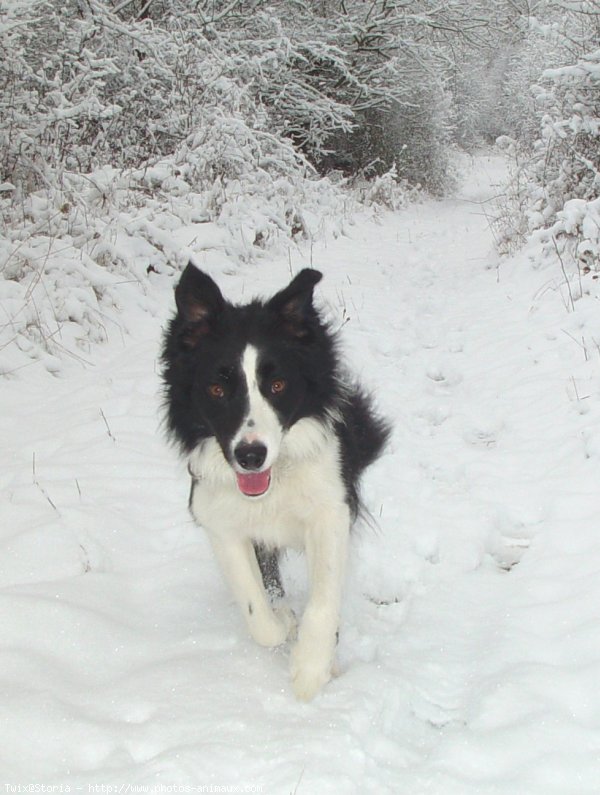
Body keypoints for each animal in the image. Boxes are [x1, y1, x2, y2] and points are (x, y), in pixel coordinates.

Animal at [161, 264, 390, 700]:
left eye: (278, 386)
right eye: (216, 389)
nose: (250, 456)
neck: (275, 479)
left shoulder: (330, 509)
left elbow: (324, 598)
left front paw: (311, 668)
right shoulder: (220, 519)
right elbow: (258, 610)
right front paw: (283, 621)